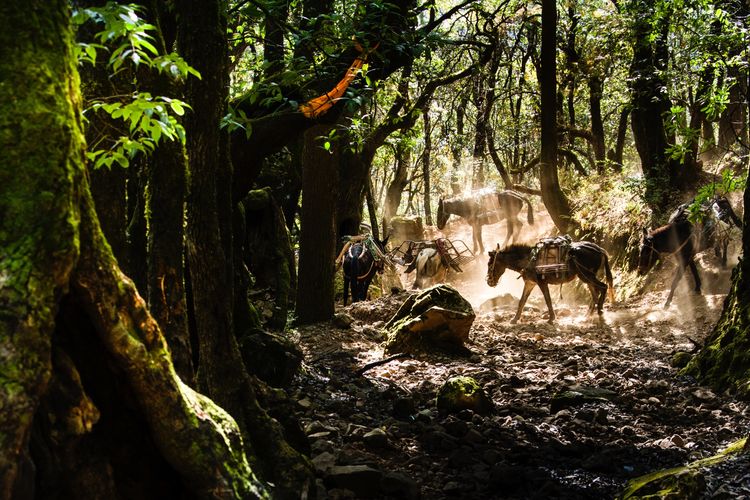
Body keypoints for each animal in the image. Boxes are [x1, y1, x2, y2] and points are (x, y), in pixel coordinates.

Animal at [488, 241, 616, 324]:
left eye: (490, 264)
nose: (489, 282)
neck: (528, 260)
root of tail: (599, 250)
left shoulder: (541, 283)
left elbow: (547, 299)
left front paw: (551, 319)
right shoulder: (530, 283)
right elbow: (522, 301)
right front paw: (514, 319)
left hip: (586, 275)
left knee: (603, 287)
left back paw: (600, 313)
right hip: (586, 277)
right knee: (595, 293)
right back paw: (587, 316)